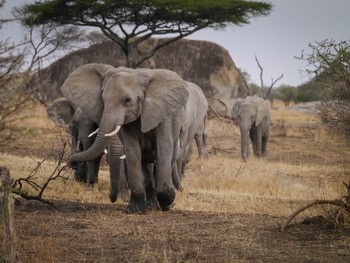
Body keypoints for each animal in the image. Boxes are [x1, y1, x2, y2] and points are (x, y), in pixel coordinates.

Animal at [60, 64, 191, 214]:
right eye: (103, 99)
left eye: (128, 100)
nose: (73, 164)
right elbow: (133, 151)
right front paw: (135, 209)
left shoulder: (162, 114)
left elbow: (163, 149)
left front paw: (166, 203)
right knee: (145, 165)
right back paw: (151, 205)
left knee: (167, 158)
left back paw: (161, 205)